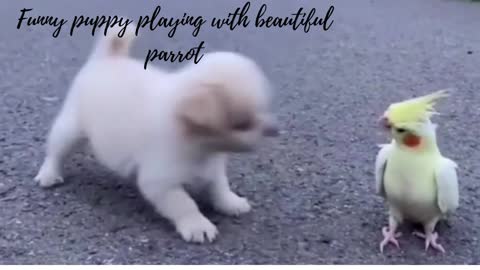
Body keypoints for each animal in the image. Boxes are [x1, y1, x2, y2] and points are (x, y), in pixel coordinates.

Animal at [34, 25, 278, 244]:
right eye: (243, 124)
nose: (273, 130)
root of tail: (107, 59)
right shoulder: (161, 182)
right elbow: (184, 203)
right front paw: (197, 225)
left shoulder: (212, 165)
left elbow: (219, 186)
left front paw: (230, 203)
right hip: (71, 127)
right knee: (56, 151)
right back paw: (49, 174)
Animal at [376, 90, 458, 253]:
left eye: (400, 129)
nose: (381, 121)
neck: (412, 154)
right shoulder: (394, 207)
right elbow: (393, 224)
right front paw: (388, 237)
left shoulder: (432, 216)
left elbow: (429, 229)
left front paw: (431, 241)